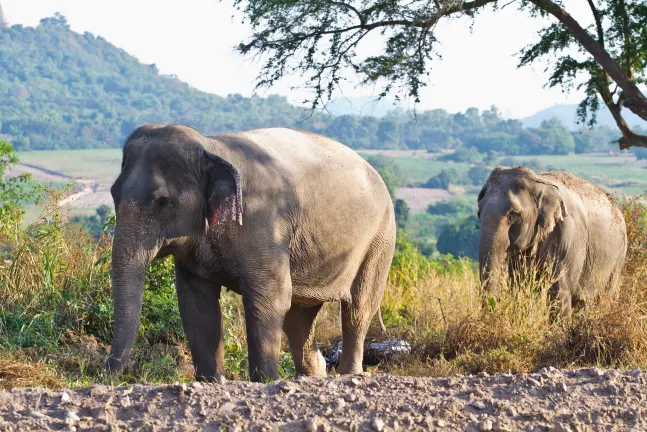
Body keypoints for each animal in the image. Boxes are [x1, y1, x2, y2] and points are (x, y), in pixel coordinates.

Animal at [104, 124, 398, 382]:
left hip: (380, 239)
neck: (212, 146)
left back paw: (349, 374)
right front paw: (210, 382)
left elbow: (270, 298)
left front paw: (265, 381)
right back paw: (312, 376)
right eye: (113, 192)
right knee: (299, 318)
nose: (109, 375)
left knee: (358, 308)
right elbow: (196, 304)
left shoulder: (264, 225)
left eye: (163, 201)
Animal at [476, 165, 628, 314]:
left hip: (618, 258)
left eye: (513, 214)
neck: (539, 182)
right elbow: (520, 287)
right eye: (479, 213)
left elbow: (560, 292)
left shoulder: (569, 235)